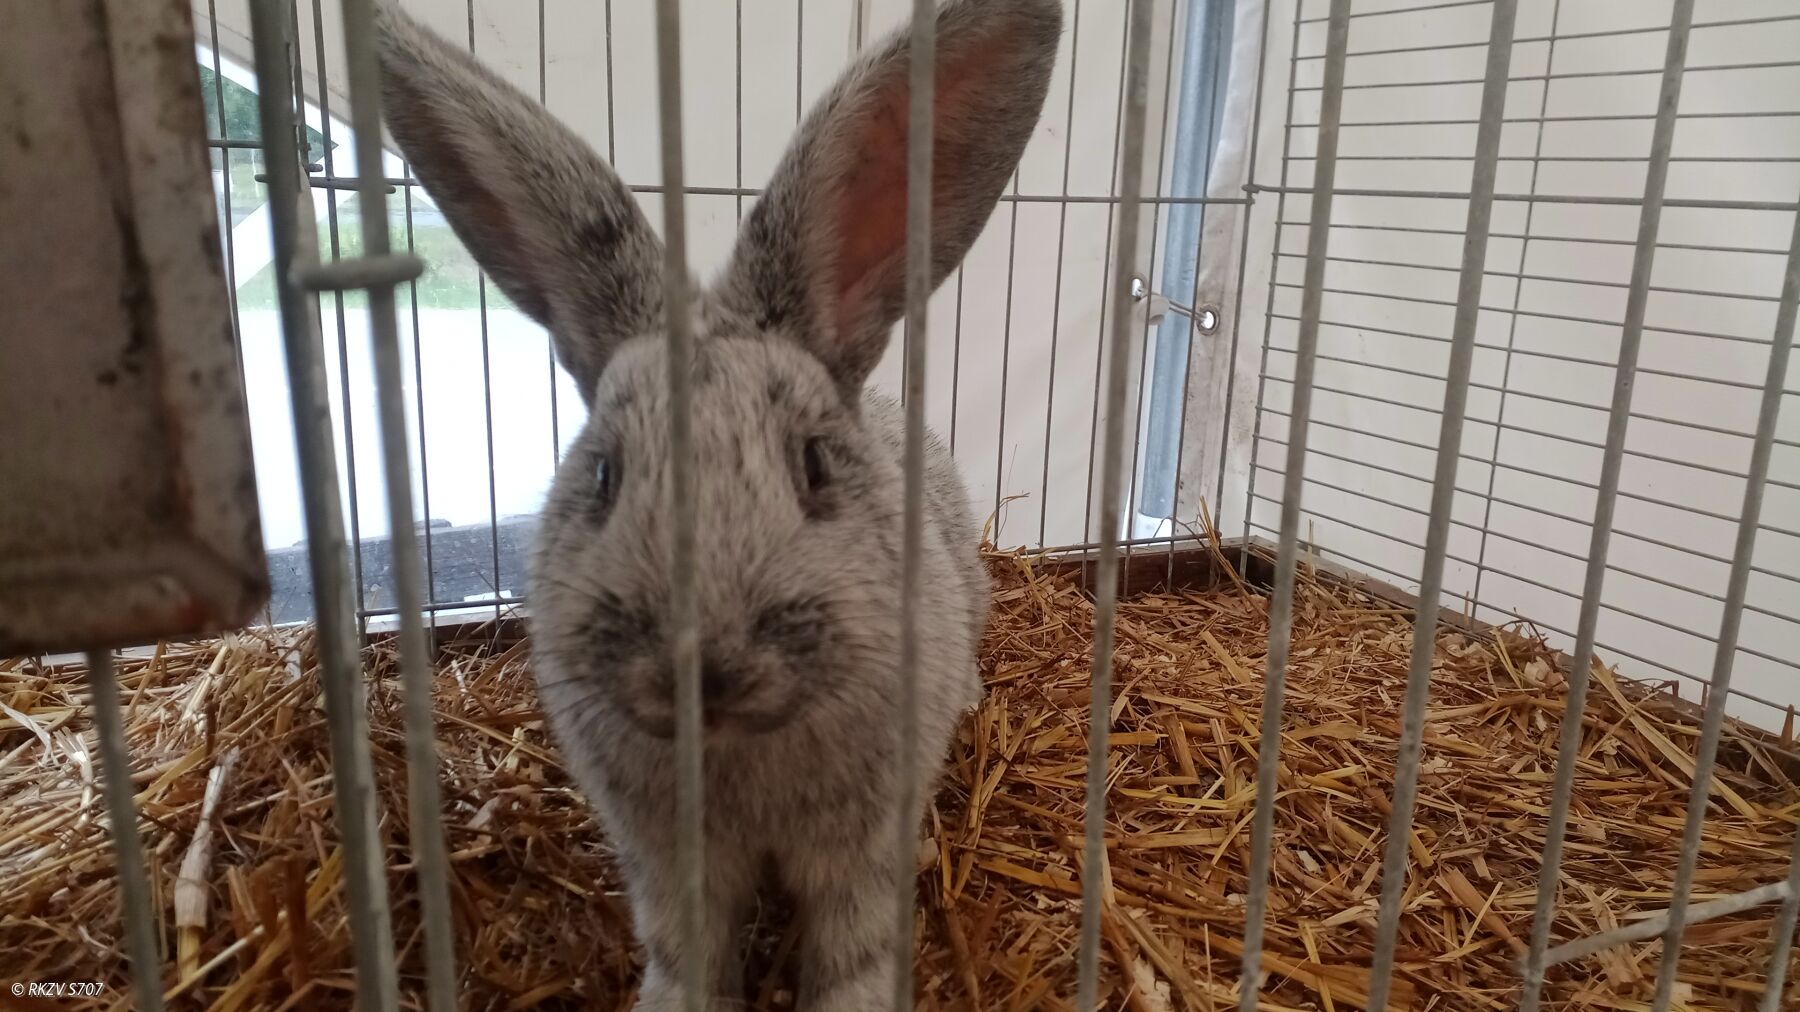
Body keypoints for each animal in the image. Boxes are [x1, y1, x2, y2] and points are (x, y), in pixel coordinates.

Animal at [374, 0, 1061, 1007]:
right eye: (604, 476)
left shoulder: (858, 853)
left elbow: (852, 951)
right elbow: (688, 951)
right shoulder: (671, 867)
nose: (699, 670)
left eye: (813, 465)